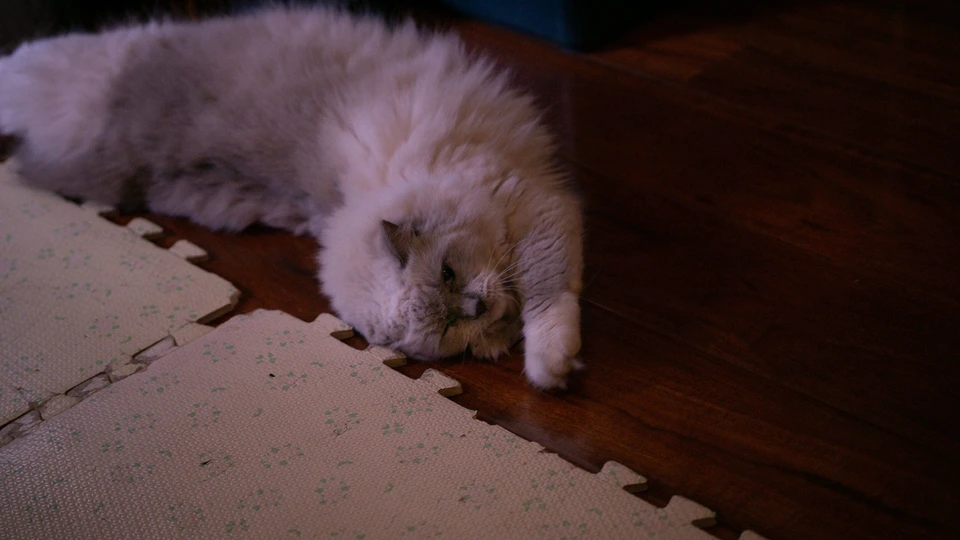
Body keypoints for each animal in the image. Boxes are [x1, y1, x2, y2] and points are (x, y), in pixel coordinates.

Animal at [0, 6, 584, 389]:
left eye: (447, 272)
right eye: (446, 325)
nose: (477, 306)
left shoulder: (536, 212)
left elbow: (548, 300)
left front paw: (548, 362)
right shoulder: (536, 213)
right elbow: (541, 309)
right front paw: (547, 368)